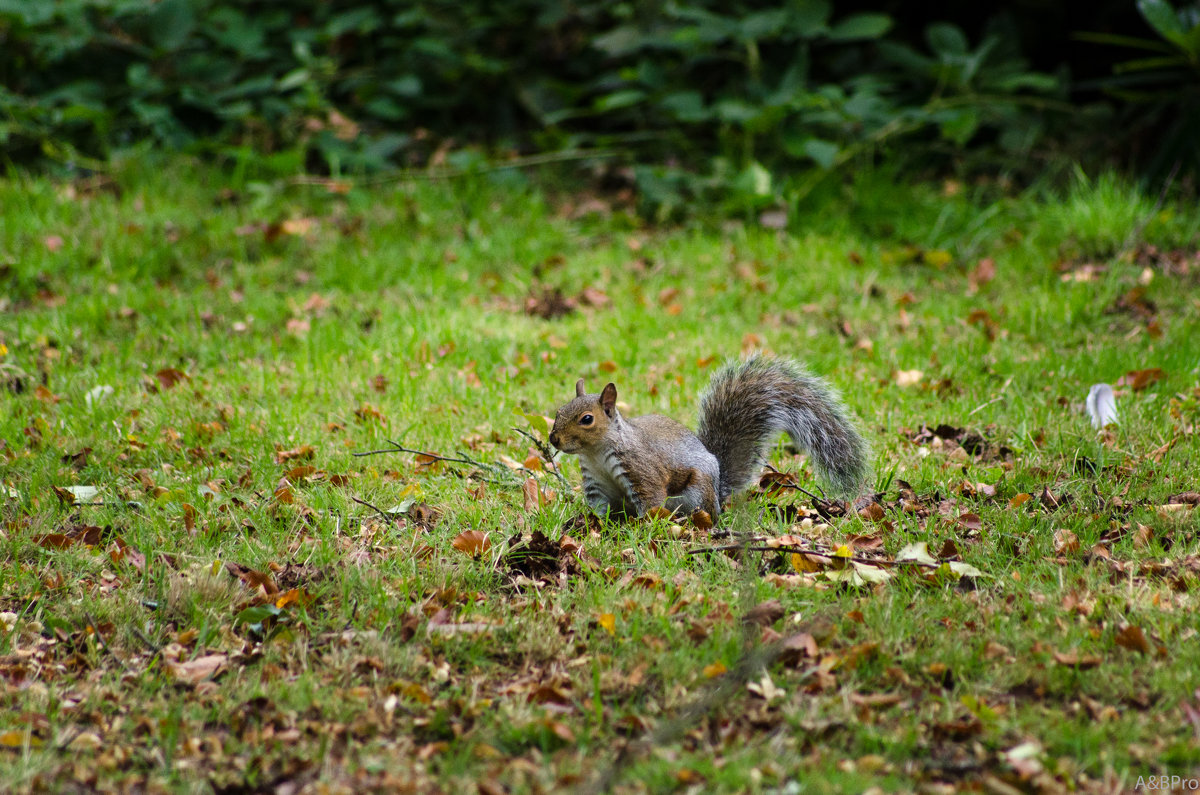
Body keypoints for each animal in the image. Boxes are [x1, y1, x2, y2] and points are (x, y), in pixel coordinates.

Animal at [549, 355, 868, 523]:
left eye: (586, 419)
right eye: (559, 410)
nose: (553, 439)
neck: (597, 453)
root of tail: (718, 491)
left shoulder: (640, 471)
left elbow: (650, 501)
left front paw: (638, 528)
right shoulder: (596, 482)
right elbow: (599, 508)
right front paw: (588, 524)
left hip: (696, 493)